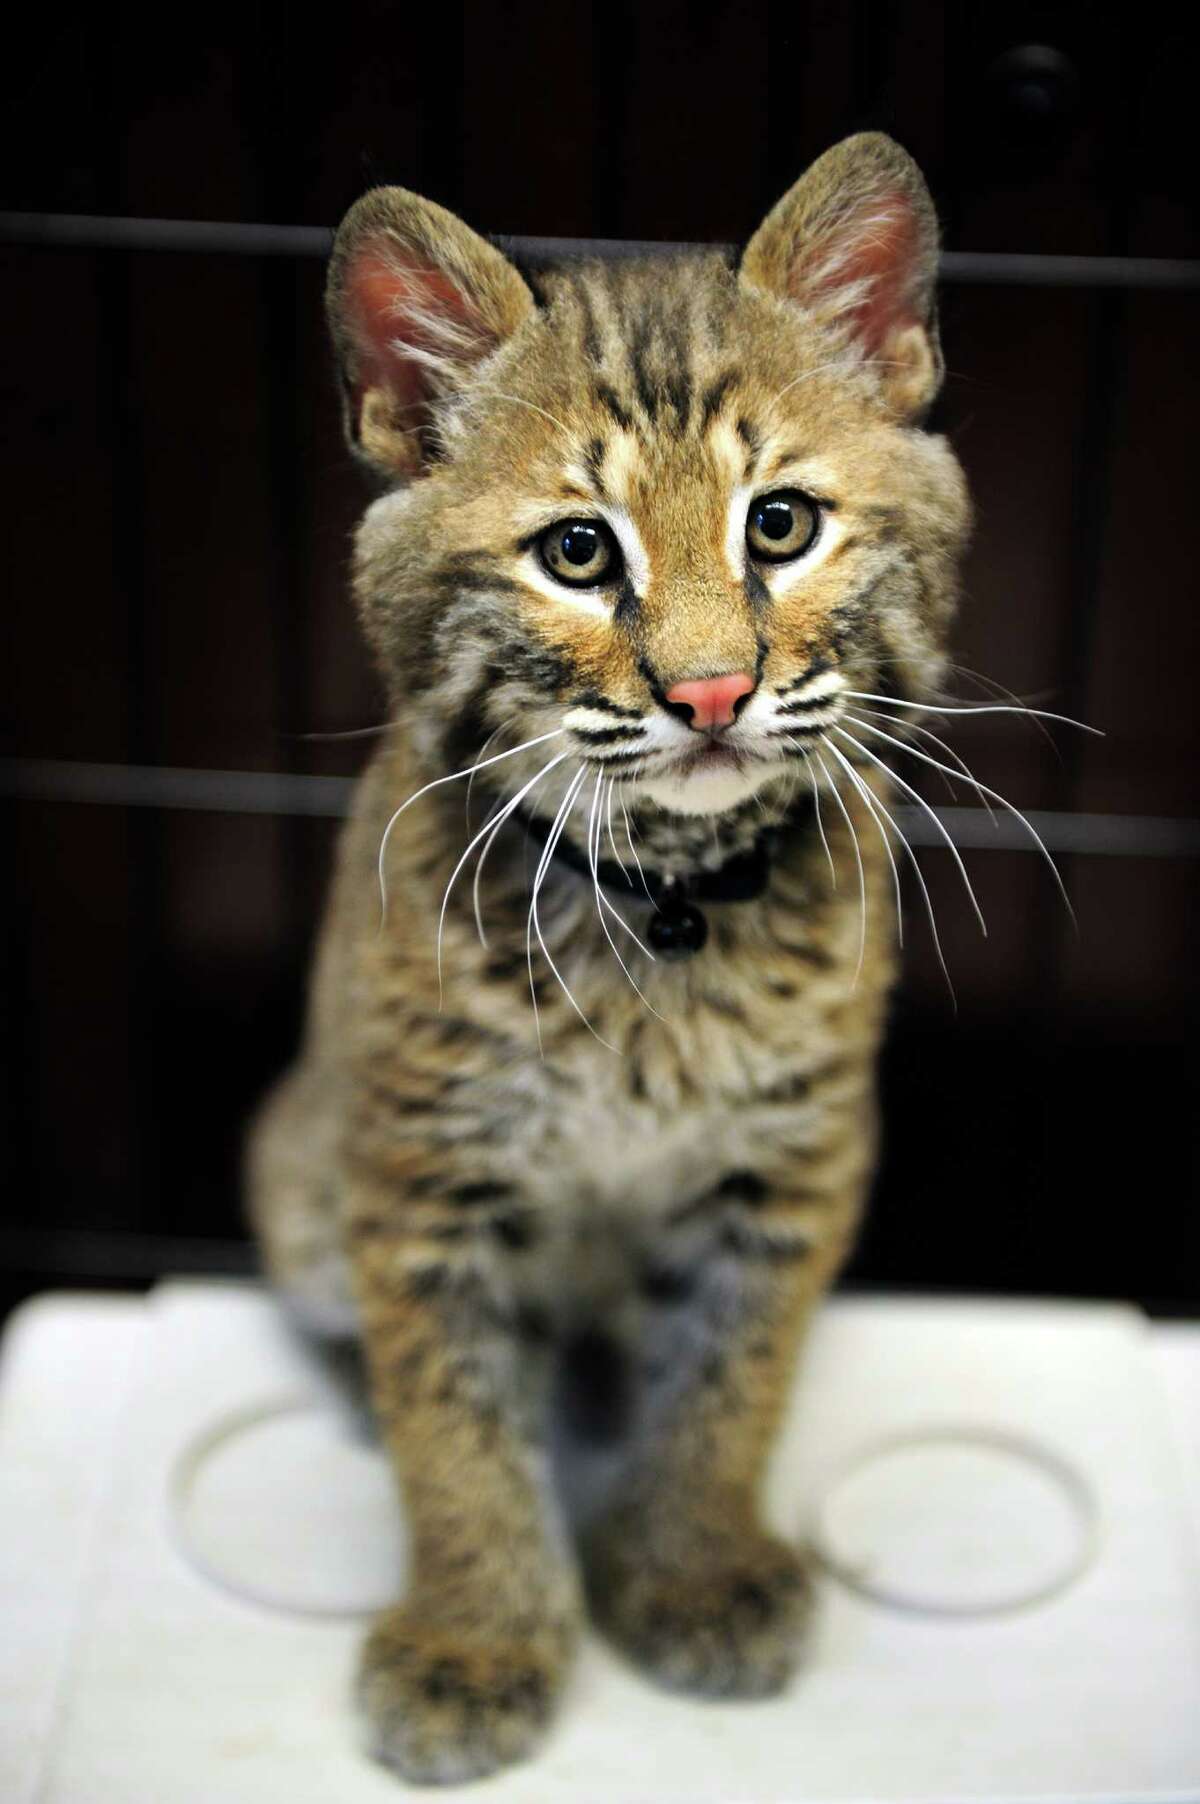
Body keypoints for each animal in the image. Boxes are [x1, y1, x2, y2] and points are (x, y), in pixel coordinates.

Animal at [247, 133, 967, 1782]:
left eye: (781, 525)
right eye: (578, 552)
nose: (708, 696)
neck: (662, 906)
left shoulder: (791, 1157)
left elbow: (733, 1380)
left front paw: (691, 1569)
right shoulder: (423, 1169)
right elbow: (452, 1423)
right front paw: (475, 1641)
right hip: (301, 1176)